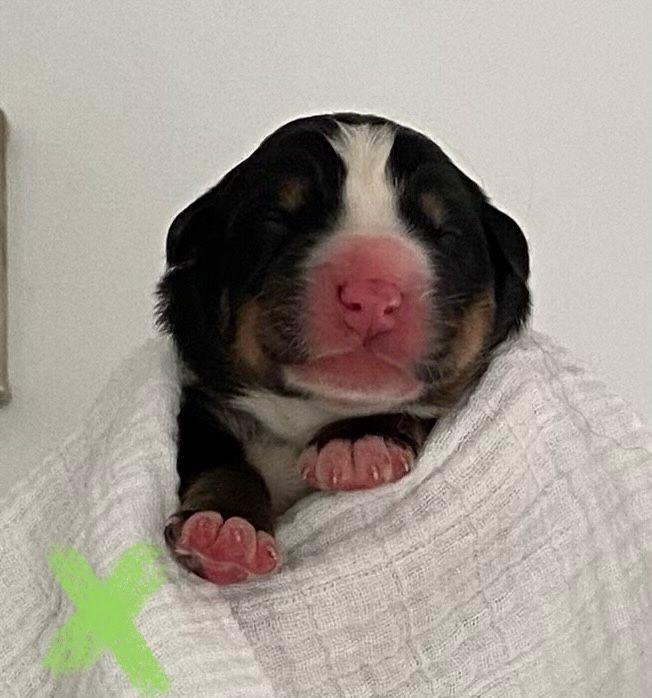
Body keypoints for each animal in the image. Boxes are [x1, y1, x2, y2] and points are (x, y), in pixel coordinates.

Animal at [157, 112, 530, 584]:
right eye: (279, 218)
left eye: (443, 231)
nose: (371, 293)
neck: (312, 413)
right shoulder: (204, 407)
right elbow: (221, 462)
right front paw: (225, 529)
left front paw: (357, 443)